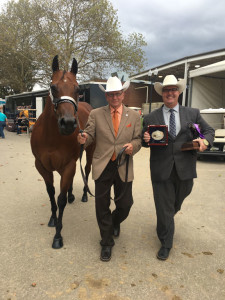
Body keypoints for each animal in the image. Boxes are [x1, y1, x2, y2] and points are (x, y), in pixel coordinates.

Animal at [30, 55, 94, 248]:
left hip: (88, 153)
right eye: (53, 87)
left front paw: (58, 235)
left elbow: (61, 199)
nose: (68, 123)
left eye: (78, 88)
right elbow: (51, 194)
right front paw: (52, 218)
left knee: (86, 170)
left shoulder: (68, 165)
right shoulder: (42, 166)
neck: (51, 136)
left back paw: (83, 195)